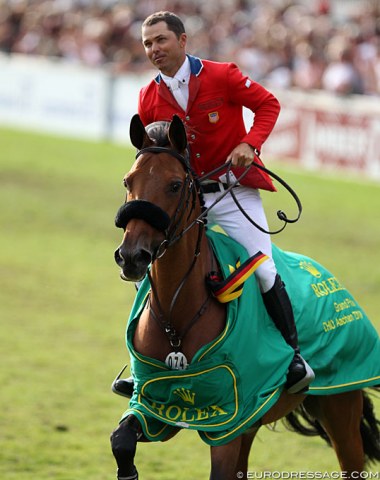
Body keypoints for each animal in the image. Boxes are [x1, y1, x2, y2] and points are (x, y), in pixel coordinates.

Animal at [110, 114, 380, 478]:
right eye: (128, 181)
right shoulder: (157, 407)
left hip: (340, 406)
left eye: (175, 185)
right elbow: (121, 440)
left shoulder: (227, 424)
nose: (131, 256)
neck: (178, 317)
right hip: (253, 420)